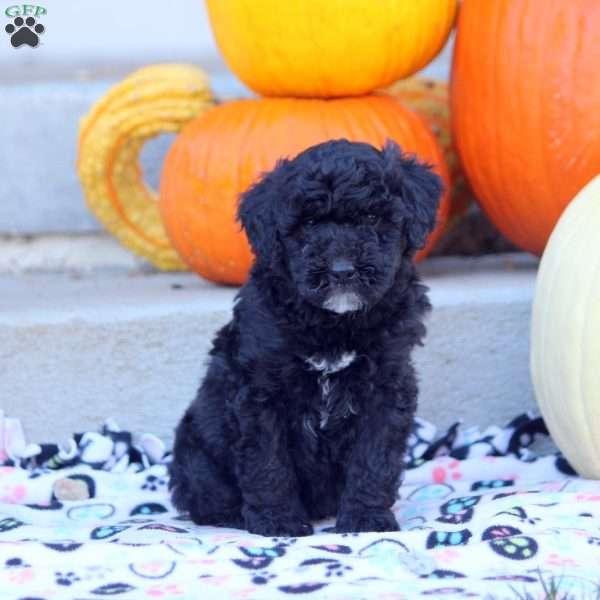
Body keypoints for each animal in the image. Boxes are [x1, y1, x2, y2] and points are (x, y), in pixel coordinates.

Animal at [168, 139, 440, 536]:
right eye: (309, 224)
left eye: (372, 218)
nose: (342, 271)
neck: (333, 324)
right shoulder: (259, 391)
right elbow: (268, 462)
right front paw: (278, 522)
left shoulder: (387, 386)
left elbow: (374, 457)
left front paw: (365, 518)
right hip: (195, 450)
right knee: (204, 491)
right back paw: (230, 515)